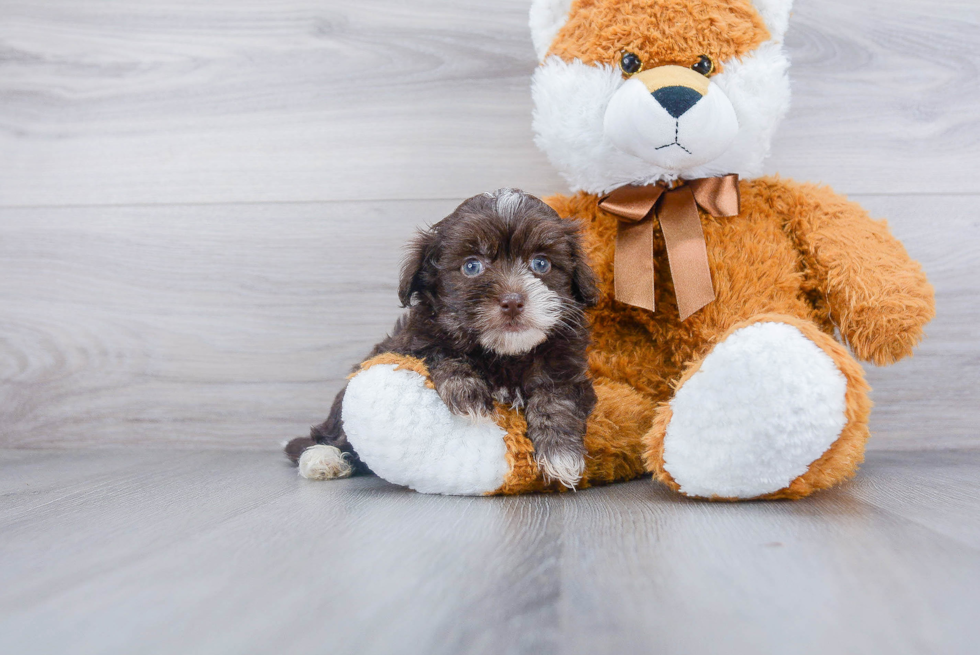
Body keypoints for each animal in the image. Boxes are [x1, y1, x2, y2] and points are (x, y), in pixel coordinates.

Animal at [288, 187, 600, 490]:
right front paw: (467, 393)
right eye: (472, 266)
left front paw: (560, 452)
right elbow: (441, 352)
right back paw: (323, 459)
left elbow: (556, 398)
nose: (512, 301)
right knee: (332, 433)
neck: (503, 355)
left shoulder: (566, 369)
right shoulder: (411, 343)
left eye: (541, 263)